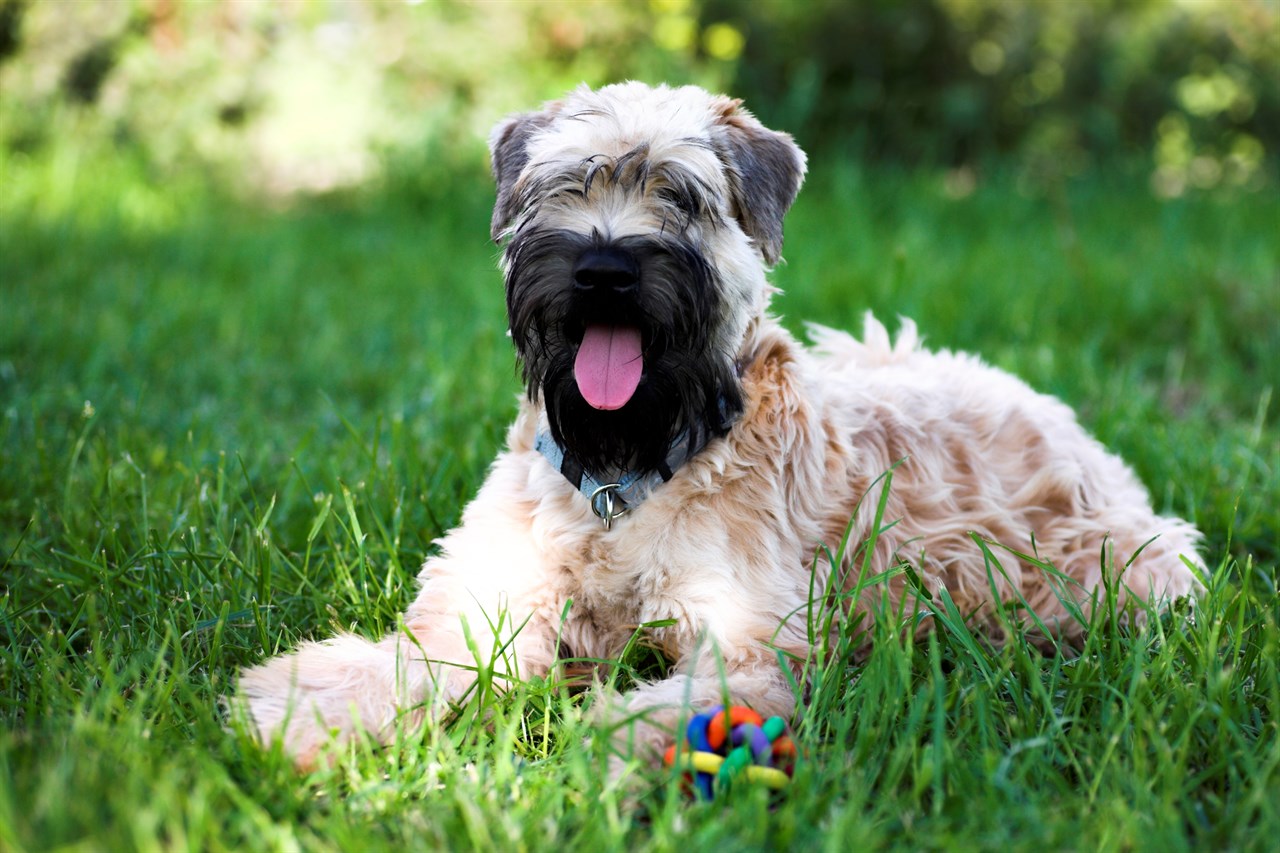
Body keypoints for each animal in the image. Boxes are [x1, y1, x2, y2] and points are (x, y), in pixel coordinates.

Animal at [235, 83, 1203, 768]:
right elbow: (414, 658)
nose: (604, 268)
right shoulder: (486, 596)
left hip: (1133, 569)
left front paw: (583, 757)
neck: (621, 476)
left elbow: (662, 710)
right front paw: (303, 713)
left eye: (682, 195)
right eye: (564, 184)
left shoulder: (745, 642)